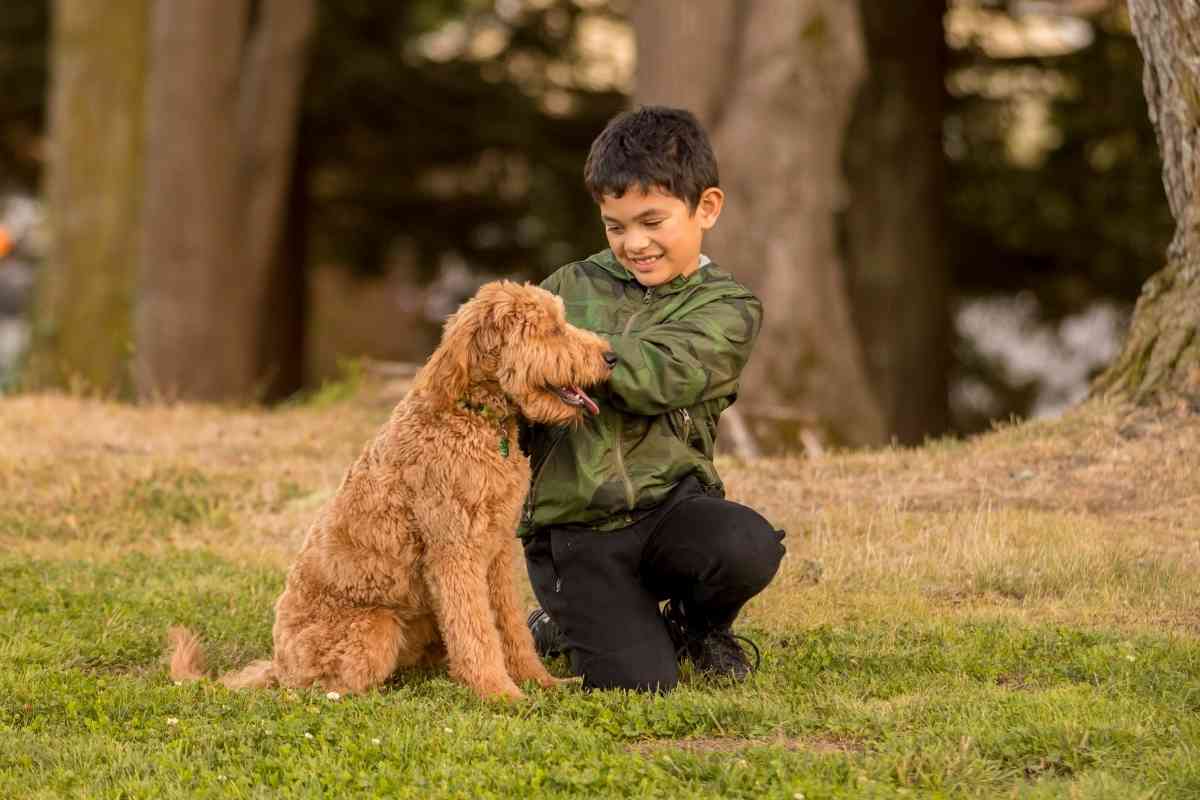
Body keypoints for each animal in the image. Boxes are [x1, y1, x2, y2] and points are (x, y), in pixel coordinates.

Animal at [168, 281, 614, 700]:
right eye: (552, 329)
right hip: (375, 627)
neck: (474, 418)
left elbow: (511, 626)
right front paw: (498, 692)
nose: (610, 357)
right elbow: (477, 631)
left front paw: (539, 681)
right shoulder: (455, 552)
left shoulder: (499, 550)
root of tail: (278, 664)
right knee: (326, 689)